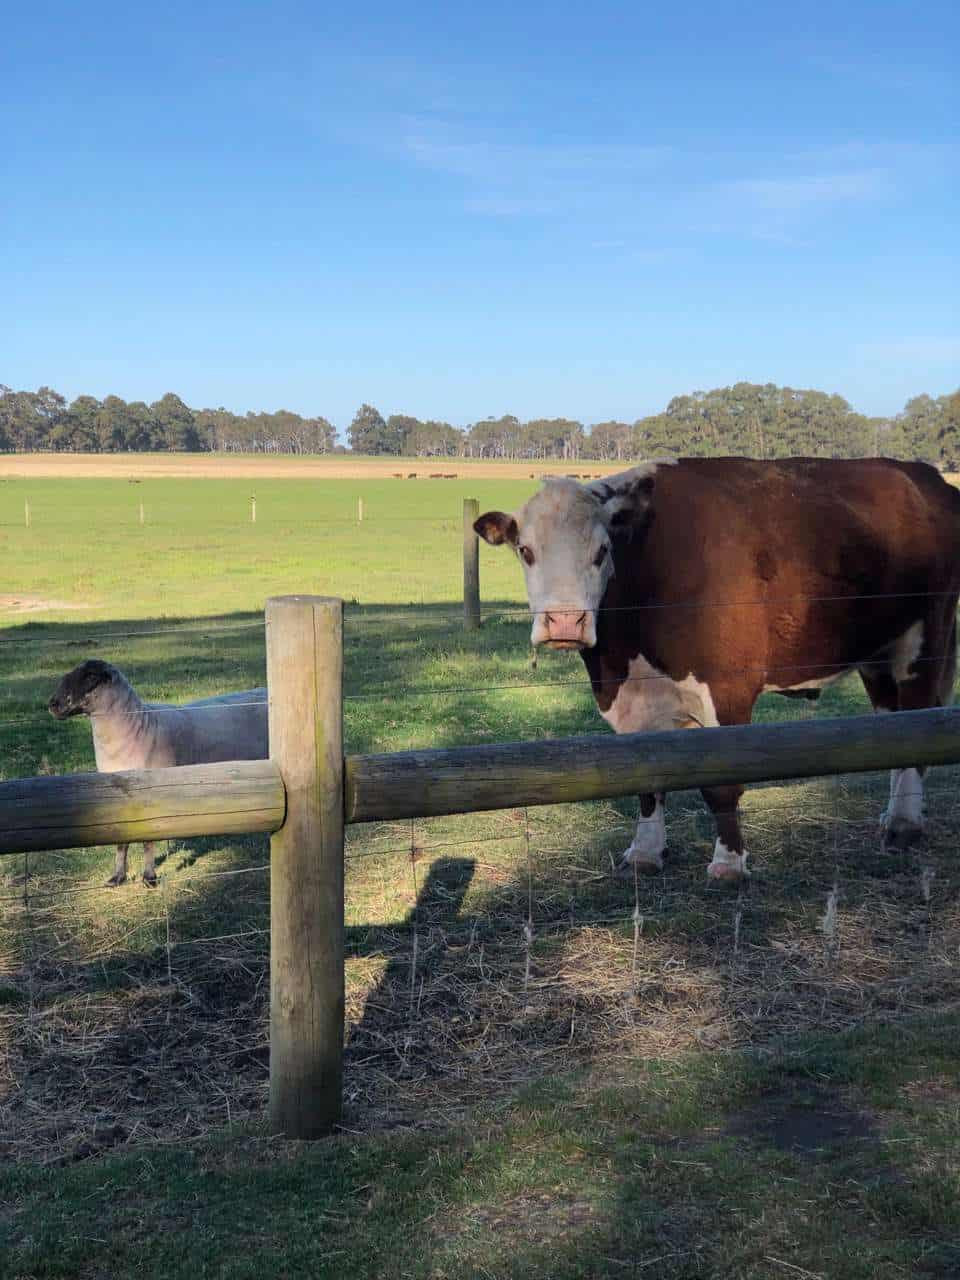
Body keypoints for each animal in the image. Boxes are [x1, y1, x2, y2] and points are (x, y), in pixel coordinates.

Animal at [48, 665, 267, 885]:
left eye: (91, 676)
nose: (52, 704)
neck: (140, 725)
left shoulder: (151, 798)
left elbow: (148, 842)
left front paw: (149, 878)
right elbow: (121, 843)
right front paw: (118, 877)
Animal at [476, 458, 960, 880]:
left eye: (602, 551)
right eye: (526, 551)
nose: (564, 622)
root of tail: (923, 473)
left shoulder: (728, 691)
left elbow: (722, 785)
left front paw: (729, 864)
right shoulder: (636, 703)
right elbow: (645, 780)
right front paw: (645, 853)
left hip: (924, 641)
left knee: (917, 717)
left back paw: (904, 824)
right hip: (876, 655)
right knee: (892, 725)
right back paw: (895, 813)